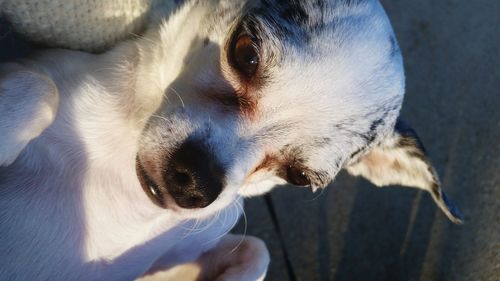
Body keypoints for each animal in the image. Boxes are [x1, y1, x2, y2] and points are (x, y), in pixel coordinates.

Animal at [0, 0, 462, 280]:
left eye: (298, 176)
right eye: (245, 52)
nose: (196, 180)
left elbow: (258, 251)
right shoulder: (42, 75)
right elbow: (40, 86)